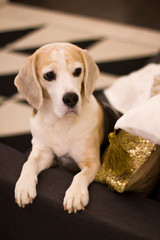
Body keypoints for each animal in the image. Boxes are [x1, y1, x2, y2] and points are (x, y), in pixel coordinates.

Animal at [13, 41, 116, 214]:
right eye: (49, 75)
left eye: (77, 71)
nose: (71, 98)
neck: (60, 123)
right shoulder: (44, 153)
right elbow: (28, 163)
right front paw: (24, 186)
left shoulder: (92, 163)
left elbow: (80, 176)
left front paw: (75, 194)